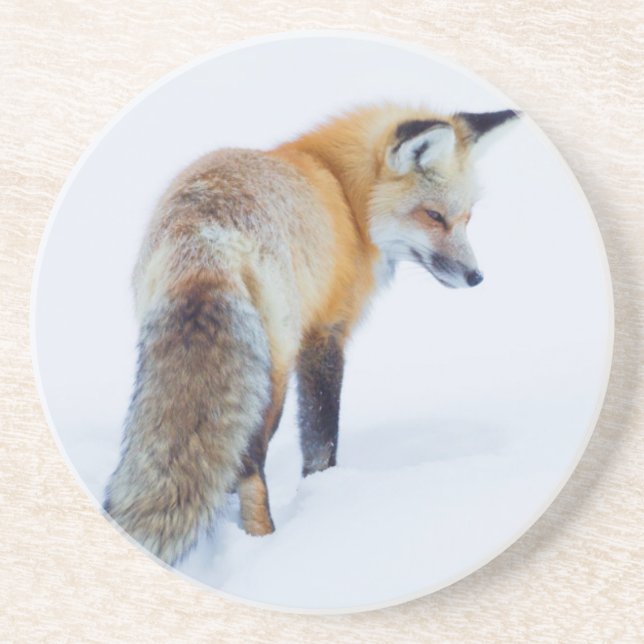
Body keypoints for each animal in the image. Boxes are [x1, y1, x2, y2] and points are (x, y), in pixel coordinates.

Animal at [103, 104, 518, 565]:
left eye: (467, 218)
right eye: (434, 216)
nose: (476, 277)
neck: (344, 195)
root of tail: (204, 237)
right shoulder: (324, 332)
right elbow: (321, 437)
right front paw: (323, 494)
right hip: (274, 372)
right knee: (250, 461)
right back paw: (262, 541)